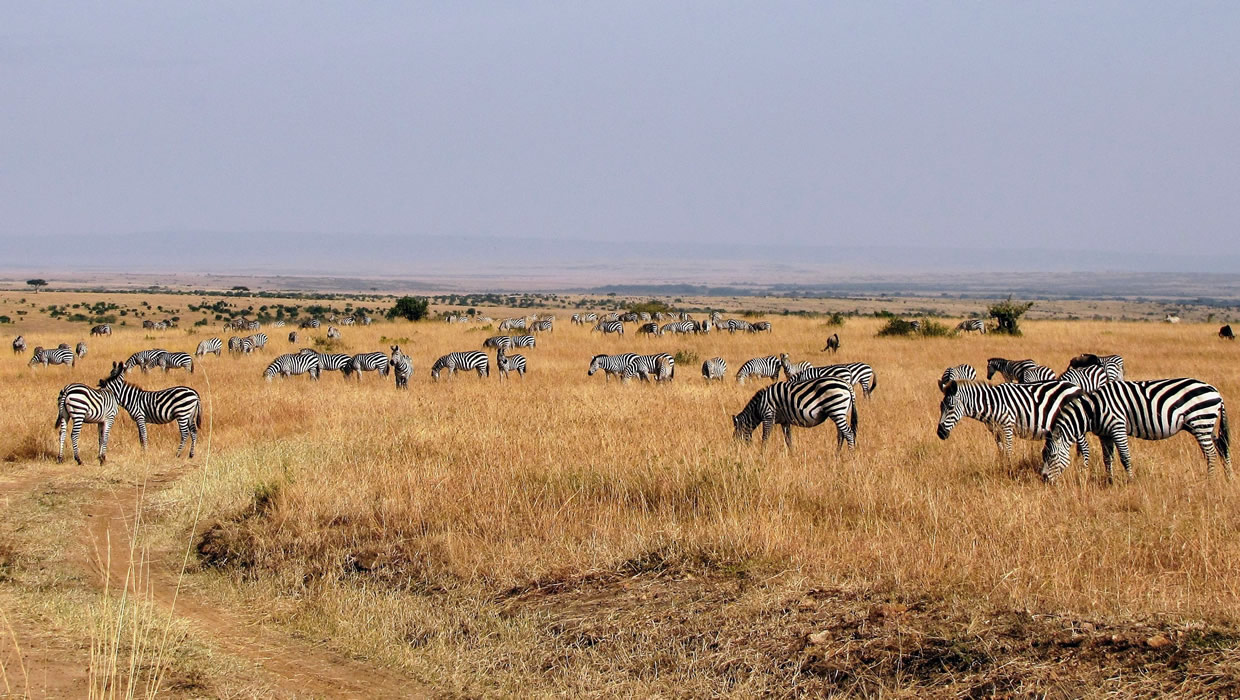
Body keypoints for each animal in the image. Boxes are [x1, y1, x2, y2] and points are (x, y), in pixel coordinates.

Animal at [729, 376, 858, 448]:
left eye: (736, 433)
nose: (735, 448)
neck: (758, 406)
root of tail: (847, 384)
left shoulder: (768, 415)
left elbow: (765, 437)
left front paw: (762, 455)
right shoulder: (784, 421)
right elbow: (788, 440)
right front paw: (792, 456)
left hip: (836, 410)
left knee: (849, 434)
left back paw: (850, 457)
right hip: (840, 413)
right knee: (841, 435)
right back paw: (837, 457)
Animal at [937, 379, 1086, 455]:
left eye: (950, 407)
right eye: (940, 407)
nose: (940, 433)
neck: (992, 404)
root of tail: (1076, 387)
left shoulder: (1007, 427)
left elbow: (1008, 451)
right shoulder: (995, 430)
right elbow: (1002, 451)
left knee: (1084, 447)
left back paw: (1082, 470)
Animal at [1046, 376, 1230, 480]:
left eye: (1052, 456)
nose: (1044, 478)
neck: (1093, 410)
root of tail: (1216, 391)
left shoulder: (1117, 427)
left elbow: (1125, 457)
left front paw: (1130, 481)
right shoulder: (1105, 434)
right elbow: (1107, 459)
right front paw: (1109, 481)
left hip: (1201, 423)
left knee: (1211, 453)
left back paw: (1210, 480)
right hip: (1205, 425)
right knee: (1222, 447)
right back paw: (1228, 477)